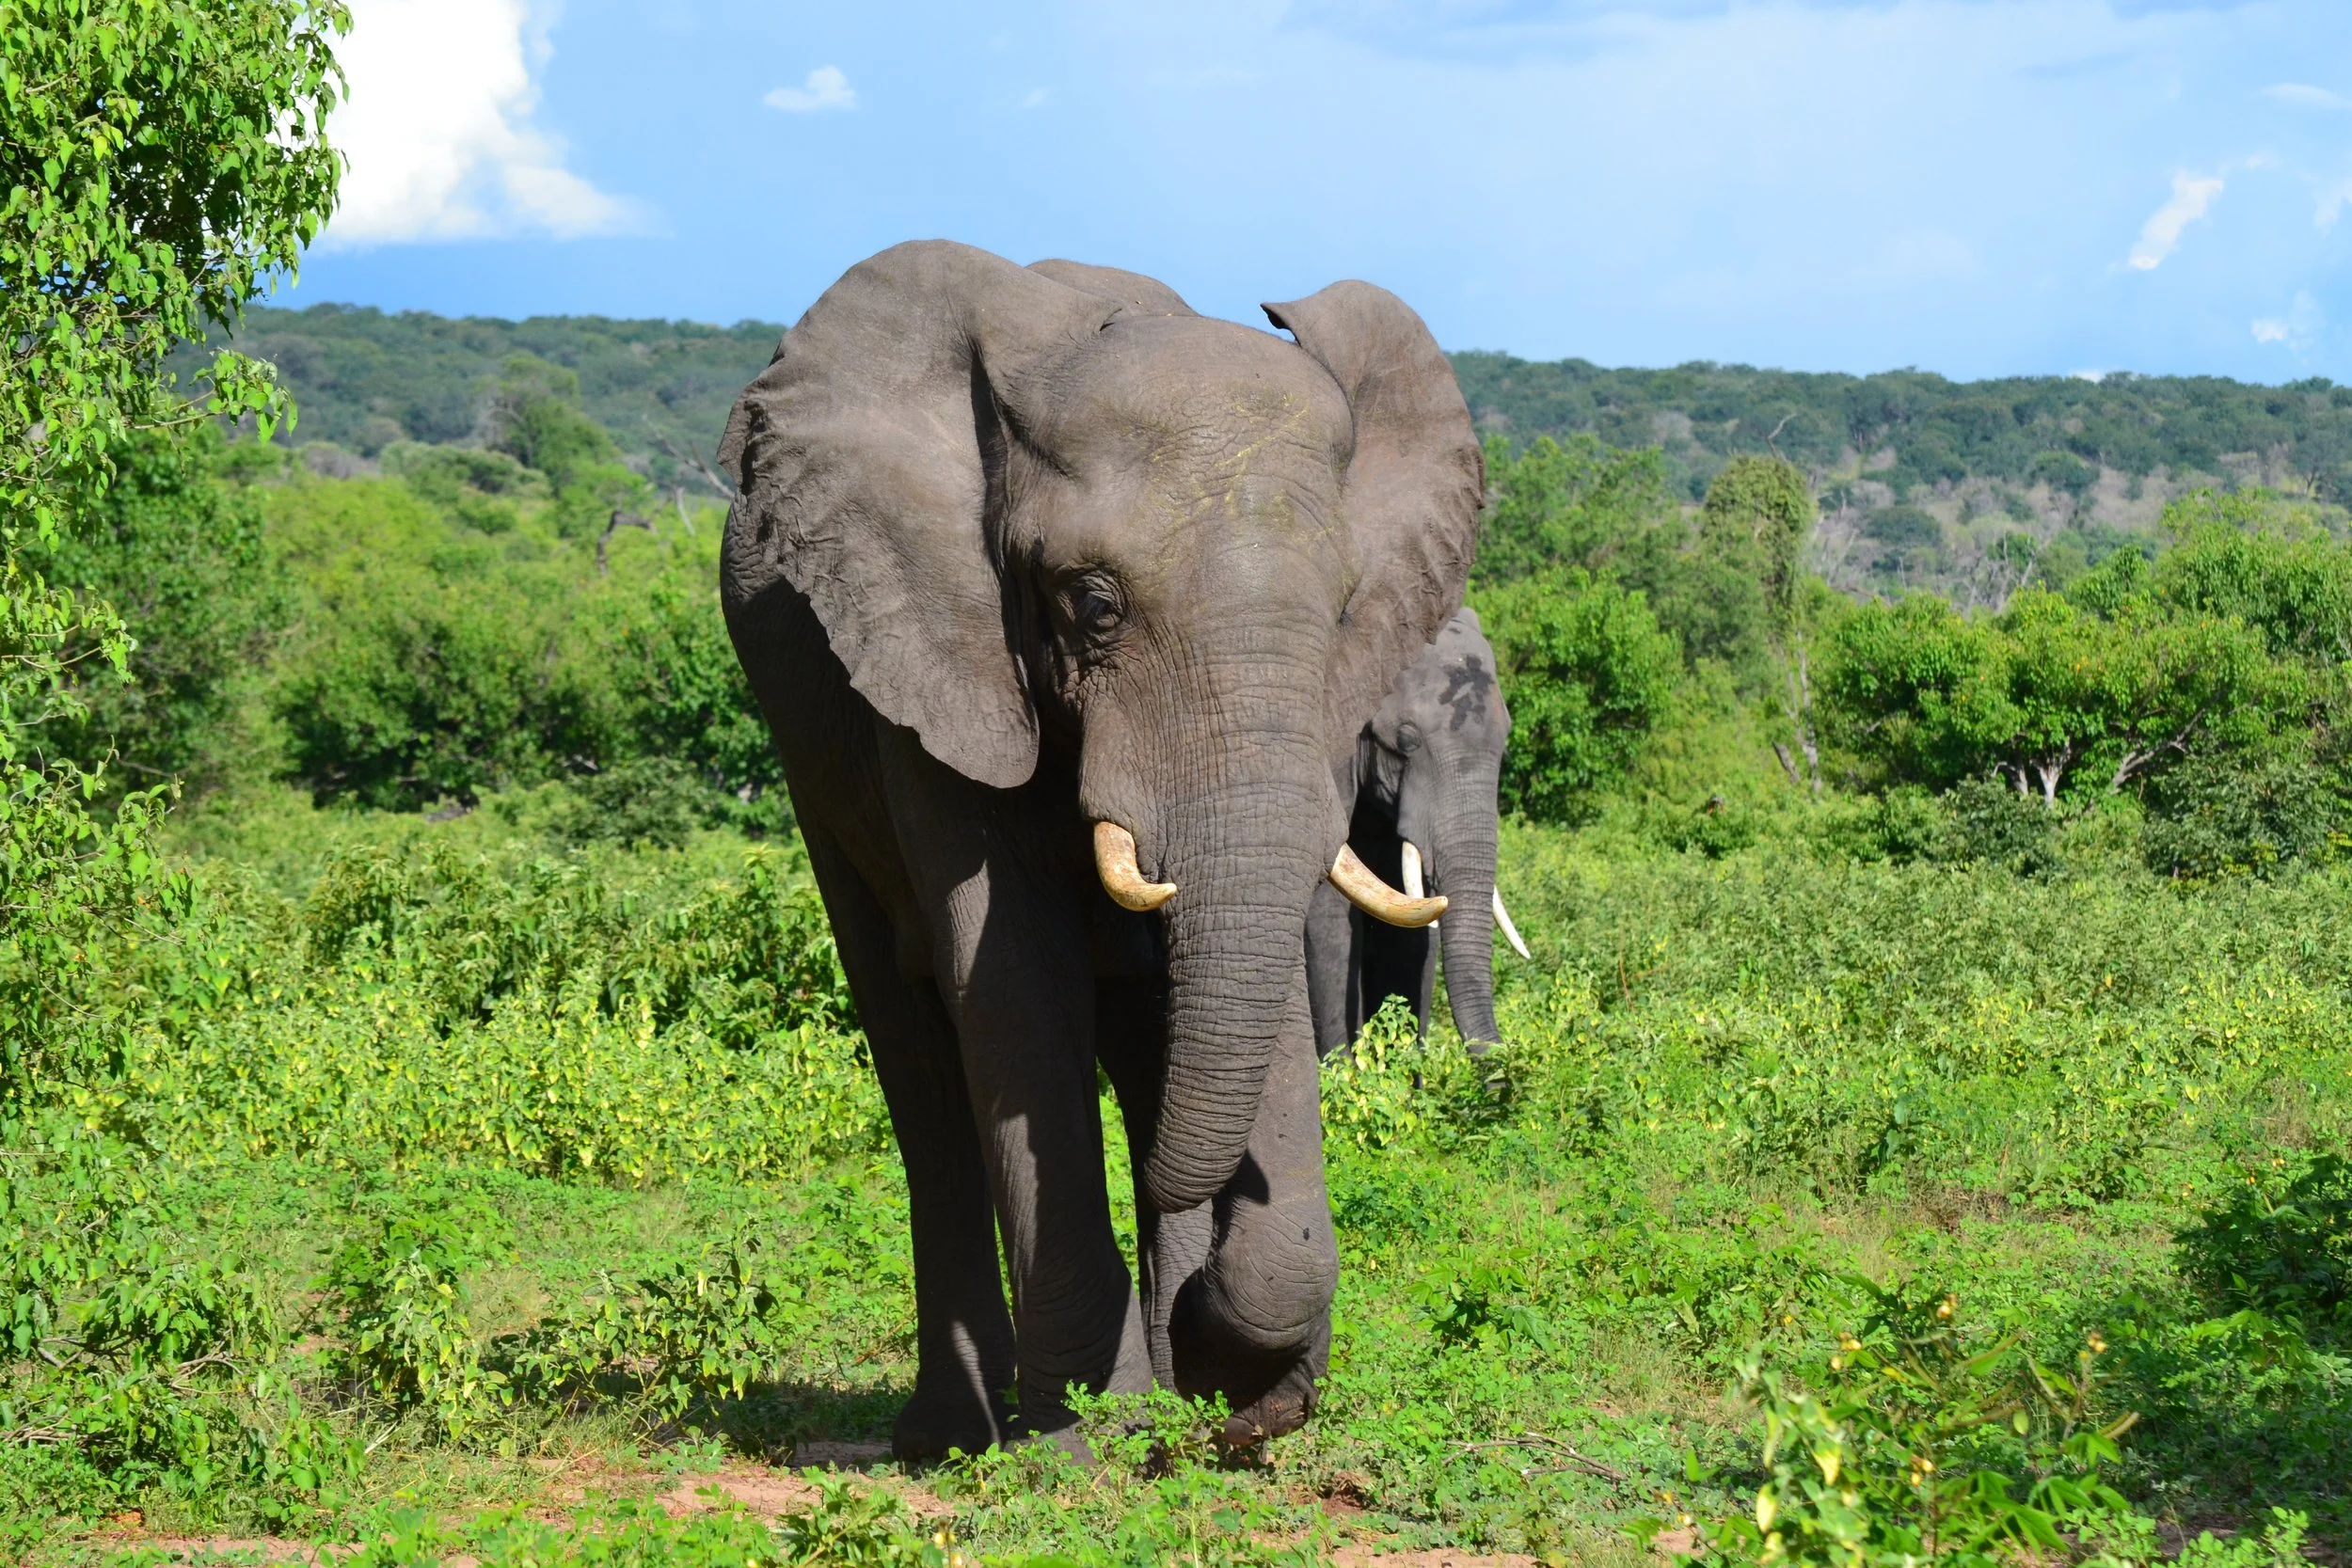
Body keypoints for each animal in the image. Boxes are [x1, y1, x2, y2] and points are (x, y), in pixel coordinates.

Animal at [717, 241, 1483, 1459]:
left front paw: (1236, 1393)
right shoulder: (938, 658)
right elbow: (1017, 989)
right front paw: (1088, 1441)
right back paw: (955, 1435)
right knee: (924, 1070)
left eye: (1345, 608)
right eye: (1091, 604)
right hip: (809, 758)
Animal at [1306, 606, 1529, 1058]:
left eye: (1506, 744)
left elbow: (1409, 928)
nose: (1508, 1060)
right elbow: (1330, 915)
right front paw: (1343, 1071)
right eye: (1406, 742)